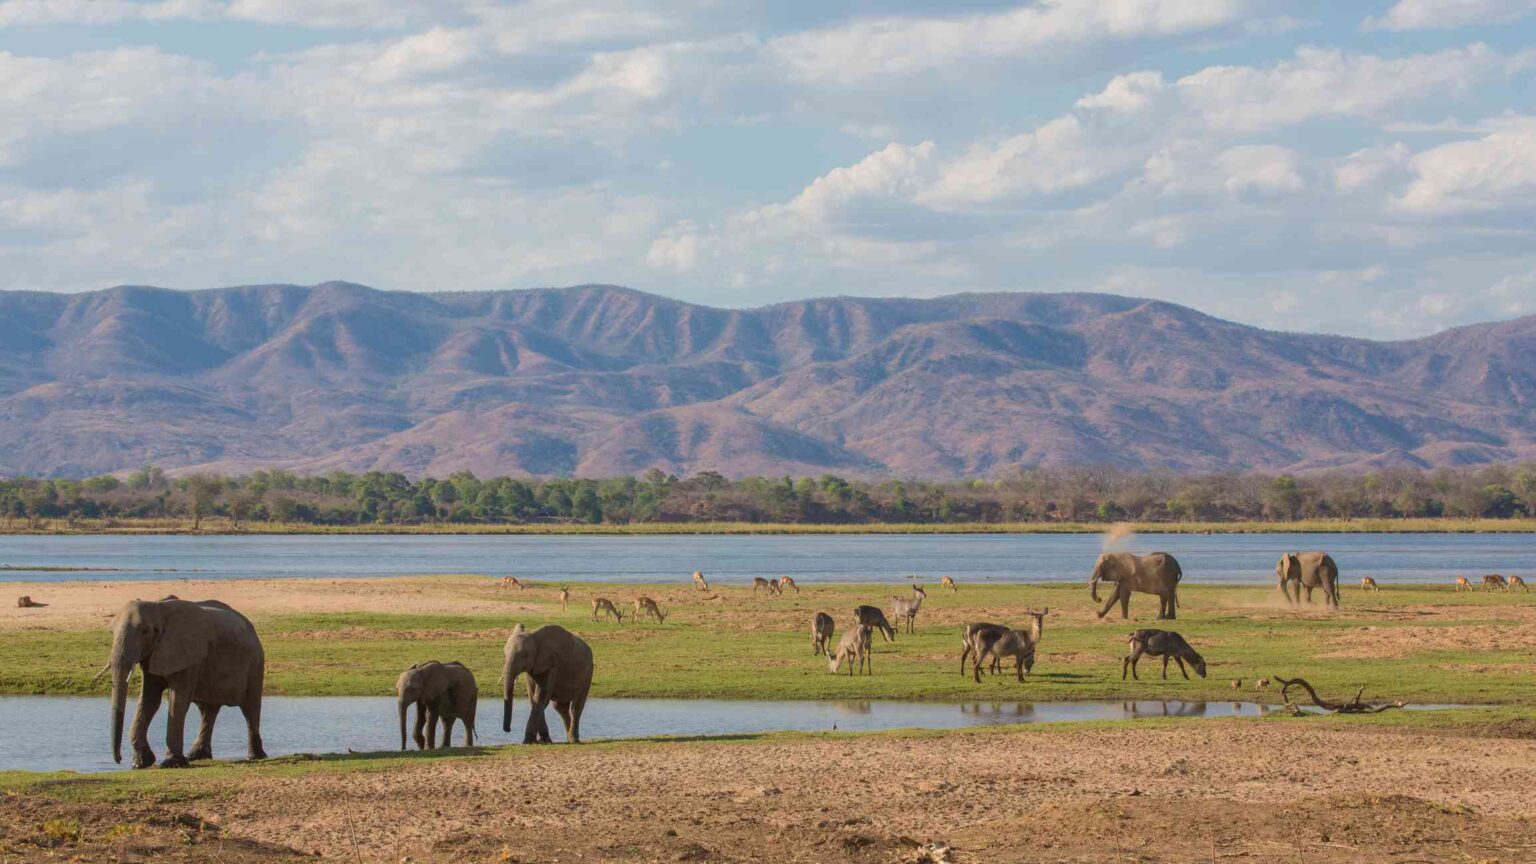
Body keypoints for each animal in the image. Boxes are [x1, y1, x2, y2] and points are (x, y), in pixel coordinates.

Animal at [100, 590, 265, 765]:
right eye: (112, 632)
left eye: (146, 631)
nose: (119, 759)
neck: (159, 609)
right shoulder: (155, 653)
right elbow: (149, 700)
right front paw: (141, 763)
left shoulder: (188, 655)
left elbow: (178, 700)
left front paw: (172, 763)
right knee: (207, 710)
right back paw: (197, 756)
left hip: (255, 664)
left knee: (250, 709)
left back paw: (255, 756)